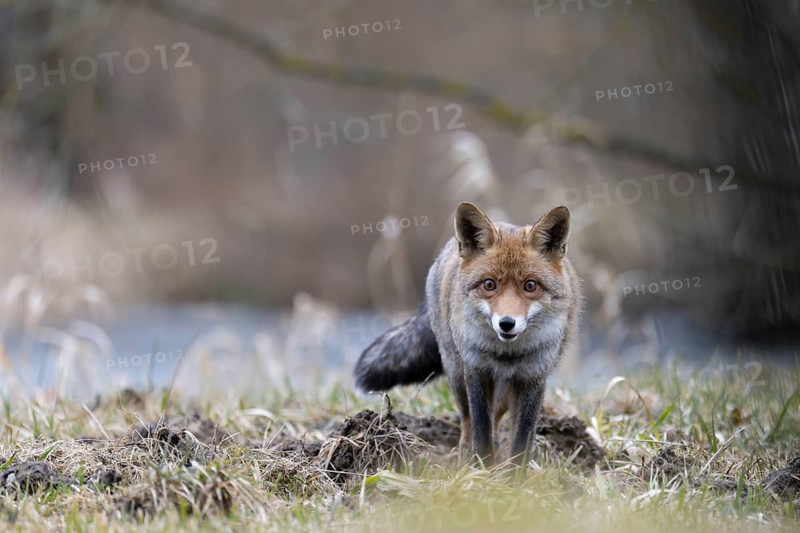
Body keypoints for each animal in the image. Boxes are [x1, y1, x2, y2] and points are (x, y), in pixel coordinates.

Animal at [354, 203, 581, 466]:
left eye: (530, 285)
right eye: (489, 284)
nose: (506, 323)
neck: (507, 354)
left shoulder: (533, 377)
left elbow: (521, 440)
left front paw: (514, 475)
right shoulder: (476, 370)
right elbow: (480, 428)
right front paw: (482, 468)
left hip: (505, 390)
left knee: (496, 418)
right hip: (456, 372)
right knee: (467, 419)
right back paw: (464, 454)